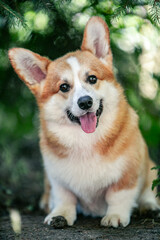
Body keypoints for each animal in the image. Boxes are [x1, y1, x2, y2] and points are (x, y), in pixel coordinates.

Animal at [8, 16, 159, 227]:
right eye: (64, 87)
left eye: (92, 78)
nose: (85, 102)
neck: (85, 139)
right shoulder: (58, 180)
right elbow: (65, 198)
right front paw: (60, 215)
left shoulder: (127, 175)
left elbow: (118, 196)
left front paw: (115, 216)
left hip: (150, 170)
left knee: (148, 192)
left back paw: (149, 207)